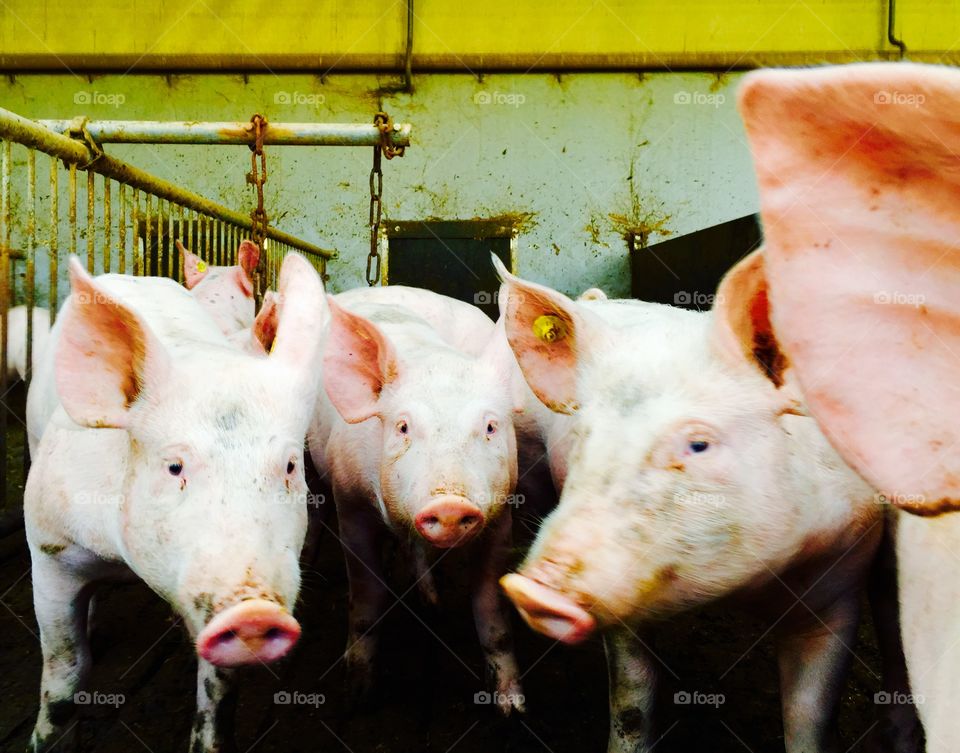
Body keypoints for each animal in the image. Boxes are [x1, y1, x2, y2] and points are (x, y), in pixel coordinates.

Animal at [24, 252, 325, 753]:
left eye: (288, 467)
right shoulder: (50, 548)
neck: (122, 562)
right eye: (174, 467)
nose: (253, 610)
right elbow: (64, 675)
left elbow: (217, 696)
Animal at [309, 286, 527, 714]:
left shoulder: (501, 516)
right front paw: (356, 695)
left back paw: (432, 602)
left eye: (490, 427)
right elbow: (367, 600)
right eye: (403, 427)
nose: (450, 504)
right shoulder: (351, 506)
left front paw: (513, 707)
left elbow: (490, 606)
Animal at [494, 257, 902, 753]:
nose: (533, 588)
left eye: (698, 444)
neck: (745, 591)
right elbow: (632, 700)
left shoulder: (840, 585)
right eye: (586, 434)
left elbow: (809, 715)